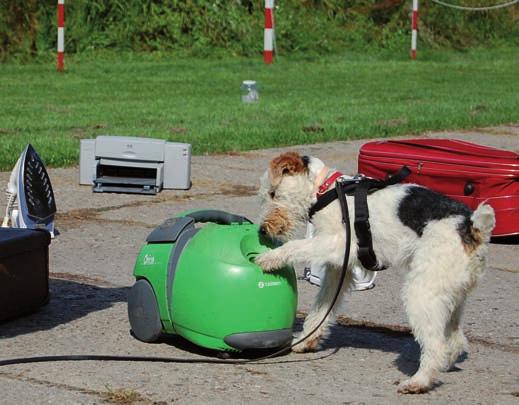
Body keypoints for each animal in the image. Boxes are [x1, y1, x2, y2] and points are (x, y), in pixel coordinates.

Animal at [256, 151, 496, 392]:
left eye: (273, 193)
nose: (263, 230)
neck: (325, 188)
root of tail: (472, 228)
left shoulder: (338, 243)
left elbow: (295, 246)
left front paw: (269, 258)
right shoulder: (338, 269)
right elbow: (321, 308)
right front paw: (307, 340)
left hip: (421, 294)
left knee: (436, 345)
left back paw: (418, 382)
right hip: (450, 297)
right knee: (455, 341)